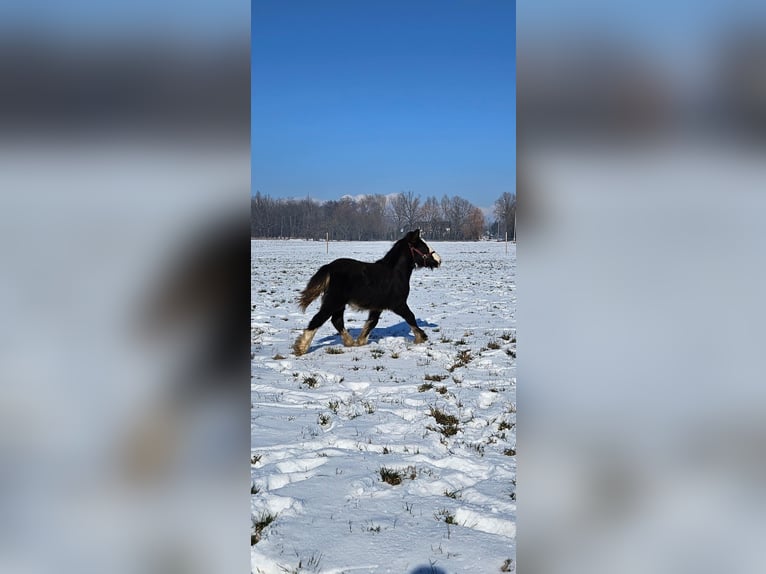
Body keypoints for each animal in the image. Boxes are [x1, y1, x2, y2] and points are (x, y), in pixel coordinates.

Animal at [294, 230, 444, 356]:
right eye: (423, 247)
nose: (439, 260)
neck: (396, 274)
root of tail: (329, 267)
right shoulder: (398, 304)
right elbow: (410, 317)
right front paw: (421, 337)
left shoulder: (377, 307)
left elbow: (372, 323)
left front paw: (361, 341)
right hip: (333, 301)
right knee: (318, 319)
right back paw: (300, 348)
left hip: (339, 304)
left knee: (336, 321)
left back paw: (350, 342)